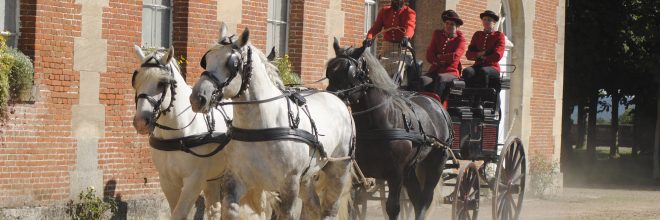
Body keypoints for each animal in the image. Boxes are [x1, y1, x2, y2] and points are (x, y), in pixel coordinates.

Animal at [132, 45, 270, 219]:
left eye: (162, 83)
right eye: (136, 81)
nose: (140, 121)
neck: (180, 133)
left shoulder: (194, 181)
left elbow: (179, 214)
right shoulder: (167, 181)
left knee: (262, 208)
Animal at [188, 24, 356, 220]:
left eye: (232, 64)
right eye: (206, 60)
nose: (198, 98)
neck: (261, 126)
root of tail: (338, 97)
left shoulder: (288, 186)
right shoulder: (236, 180)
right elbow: (230, 209)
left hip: (338, 169)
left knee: (329, 209)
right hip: (306, 177)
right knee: (314, 206)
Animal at [326, 39, 454, 220]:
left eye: (349, 73)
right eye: (329, 72)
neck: (377, 124)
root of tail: (436, 104)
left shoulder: (396, 174)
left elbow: (393, 208)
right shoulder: (356, 173)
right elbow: (349, 206)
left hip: (436, 163)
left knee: (425, 199)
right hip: (411, 169)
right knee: (416, 198)